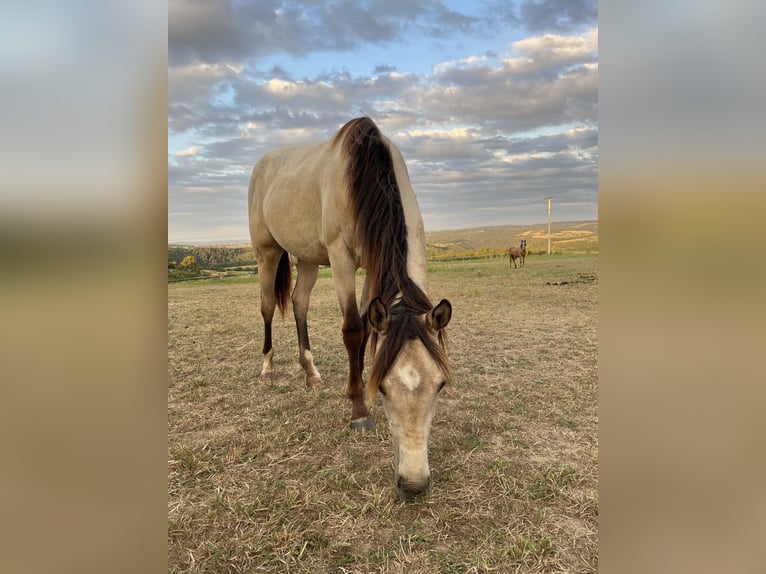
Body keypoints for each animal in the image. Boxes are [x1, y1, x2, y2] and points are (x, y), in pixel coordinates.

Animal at [248, 117, 452, 500]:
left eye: (441, 385)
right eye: (384, 388)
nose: (413, 484)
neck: (364, 173)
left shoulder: (372, 265)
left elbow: (369, 326)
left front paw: (354, 387)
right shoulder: (341, 257)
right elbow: (353, 329)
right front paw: (359, 409)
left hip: (308, 258)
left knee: (299, 303)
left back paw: (310, 373)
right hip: (266, 253)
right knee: (268, 307)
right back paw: (267, 368)